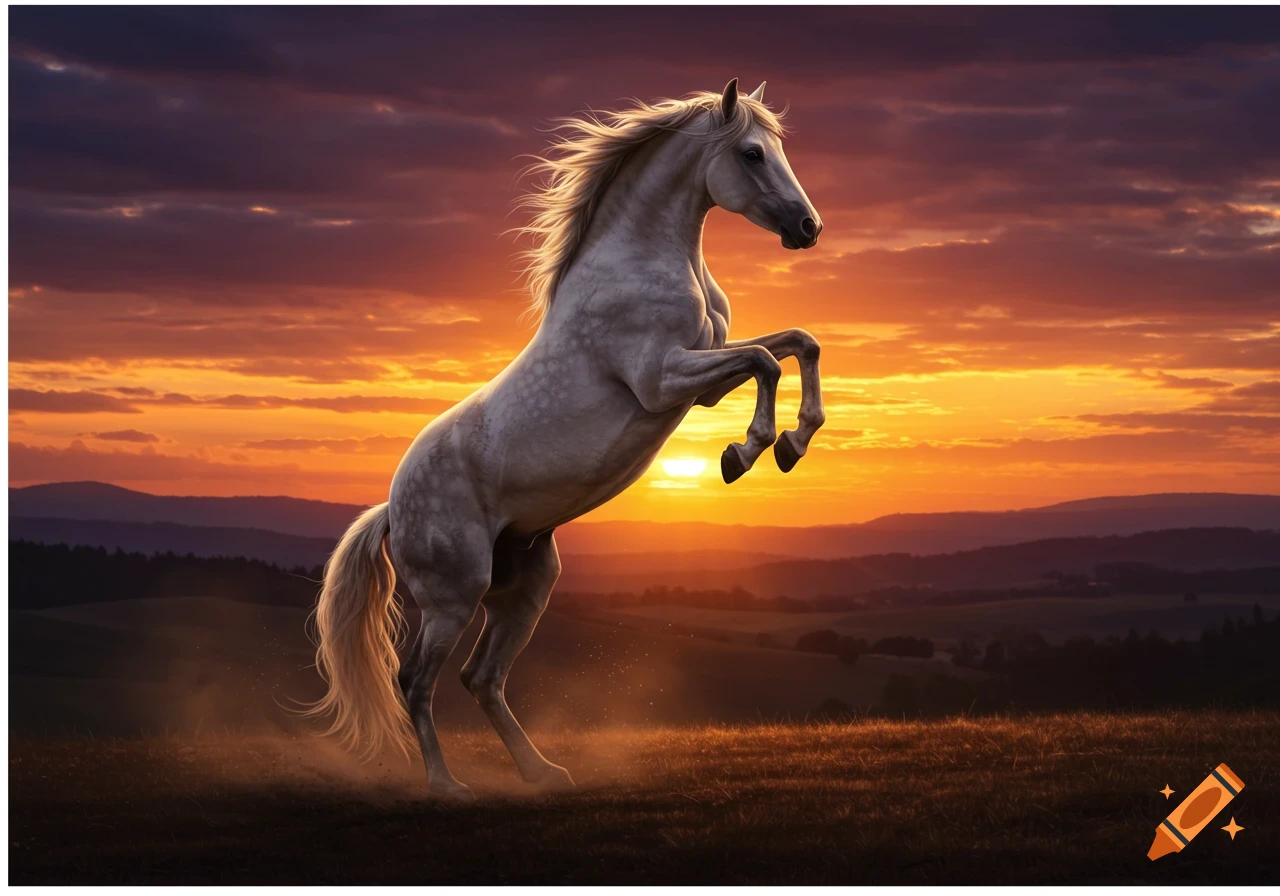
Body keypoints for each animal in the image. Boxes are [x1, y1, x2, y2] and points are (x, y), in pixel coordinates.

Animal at [307, 78, 826, 799]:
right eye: (752, 153)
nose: (808, 229)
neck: (645, 263)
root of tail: (390, 510)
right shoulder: (662, 379)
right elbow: (767, 361)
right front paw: (743, 454)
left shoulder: (701, 379)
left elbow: (798, 344)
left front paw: (792, 443)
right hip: (453, 594)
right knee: (415, 681)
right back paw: (447, 786)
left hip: (526, 586)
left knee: (481, 678)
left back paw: (543, 771)